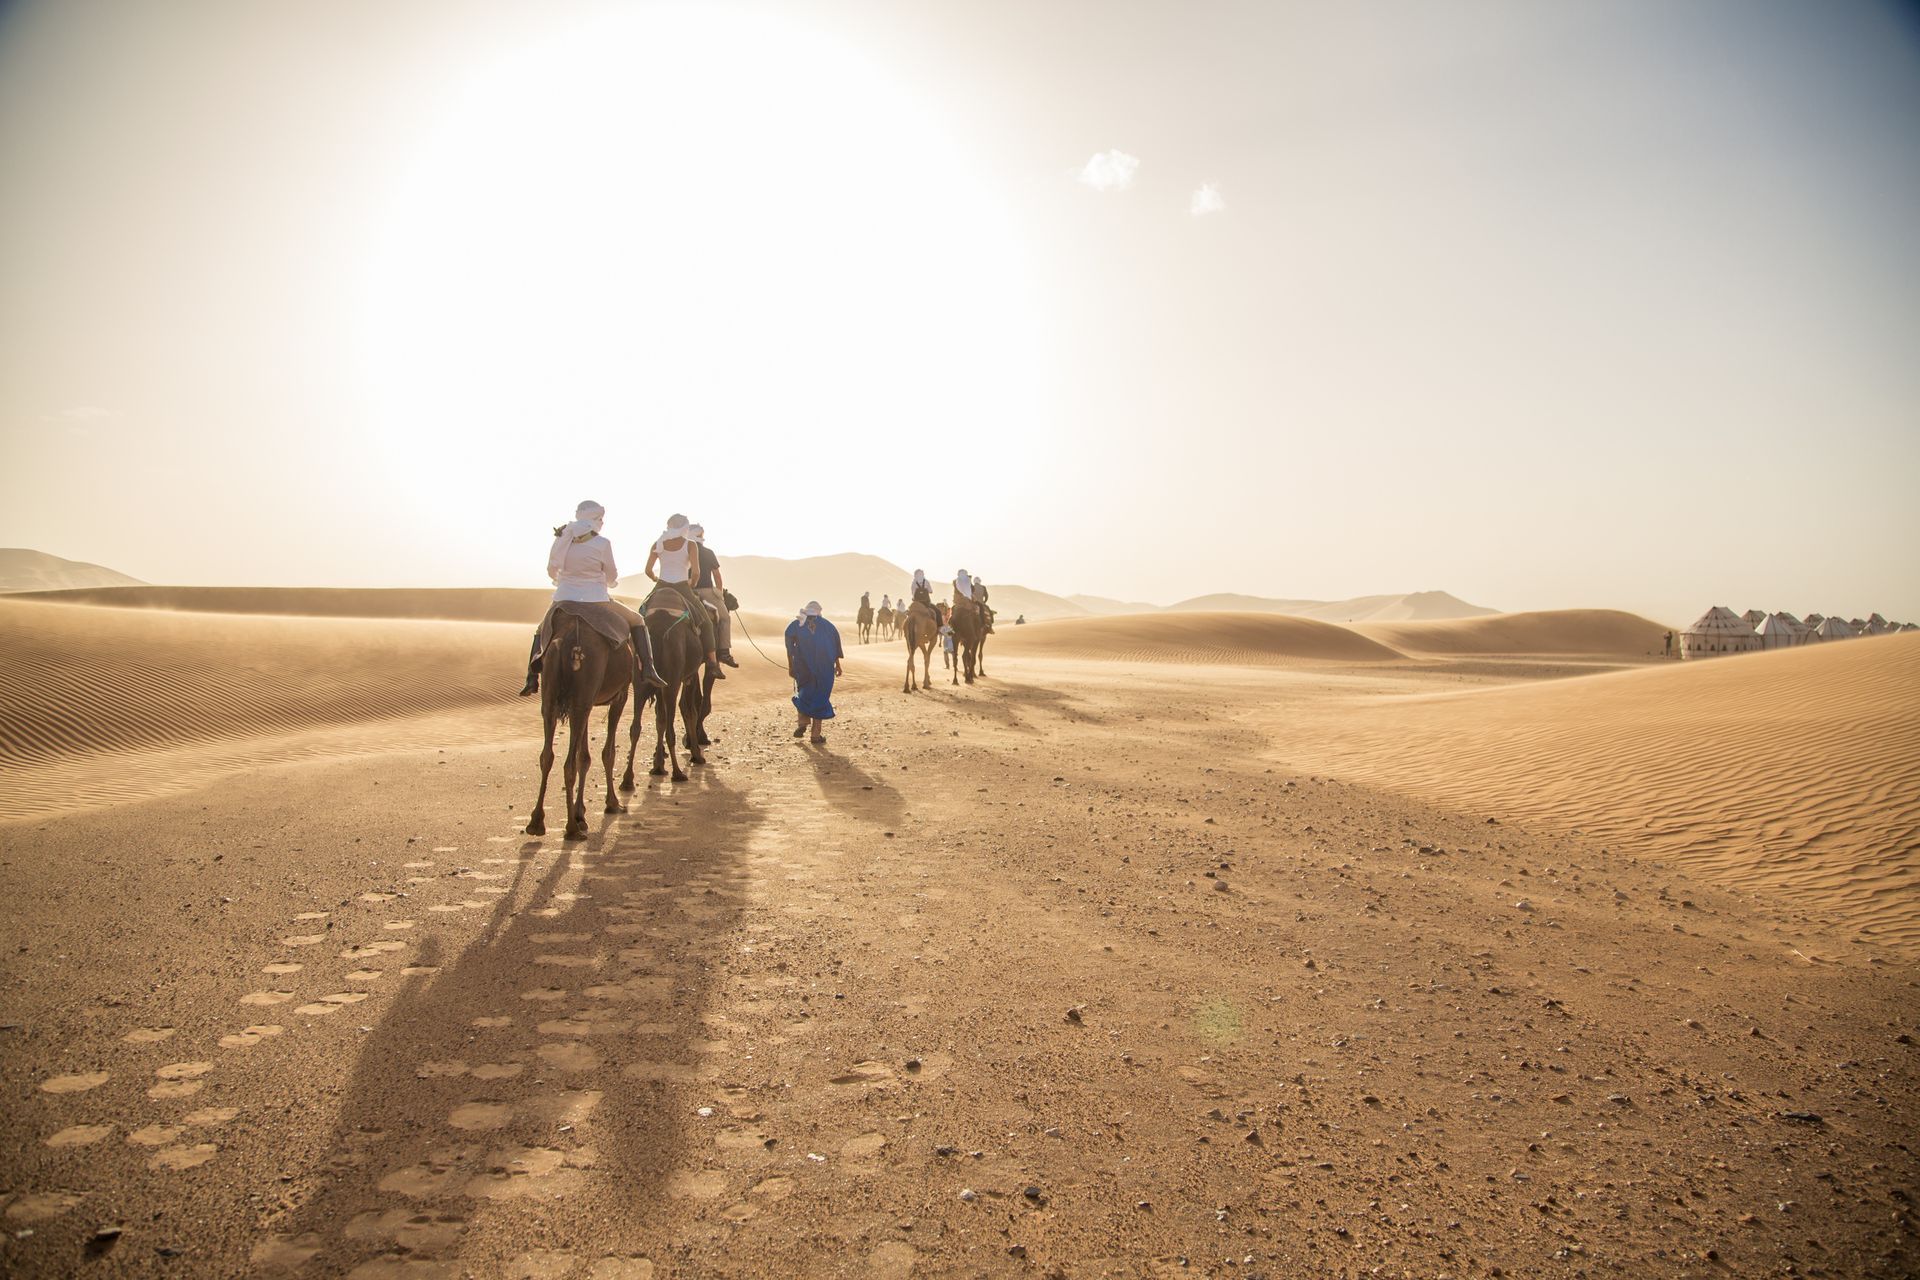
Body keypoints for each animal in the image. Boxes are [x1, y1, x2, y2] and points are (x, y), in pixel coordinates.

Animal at [529, 614, 633, 840]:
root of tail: (566, 642)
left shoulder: (587, 702)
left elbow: (583, 756)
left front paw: (580, 814)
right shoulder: (620, 695)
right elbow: (608, 753)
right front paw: (612, 803)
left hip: (552, 697)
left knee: (546, 755)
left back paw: (536, 822)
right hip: (584, 694)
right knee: (568, 764)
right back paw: (571, 829)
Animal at [629, 594, 714, 786]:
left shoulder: (661, 685)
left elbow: (659, 719)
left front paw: (658, 765)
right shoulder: (690, 676)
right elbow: (690, 711)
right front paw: (696, 754)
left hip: (641, 680)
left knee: (636, 727)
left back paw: (627, 780)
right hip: (673, 680)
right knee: (671, 728)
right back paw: (678, 773)